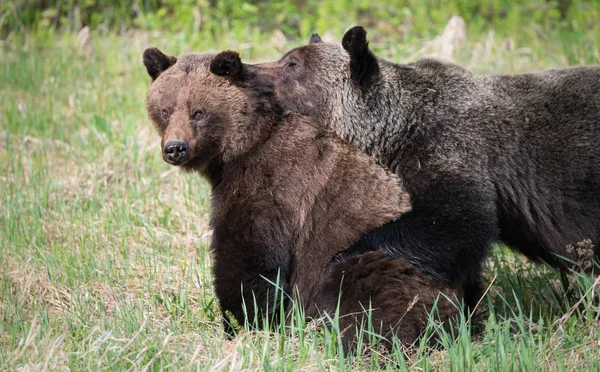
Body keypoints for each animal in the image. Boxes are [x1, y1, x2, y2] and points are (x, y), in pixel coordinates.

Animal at [143, 47, 462, 348]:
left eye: (198, 112)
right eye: (165, 110)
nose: (175, 148)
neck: (243, 148)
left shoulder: (269, 188)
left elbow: (249, 260)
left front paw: (241, 325)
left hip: (391, 262)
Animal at [243, 28, 600, 308]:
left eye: (292, 64)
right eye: (285, 56)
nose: (245, 69)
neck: (396, 134)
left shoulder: (452, 152)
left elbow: (452, 227)